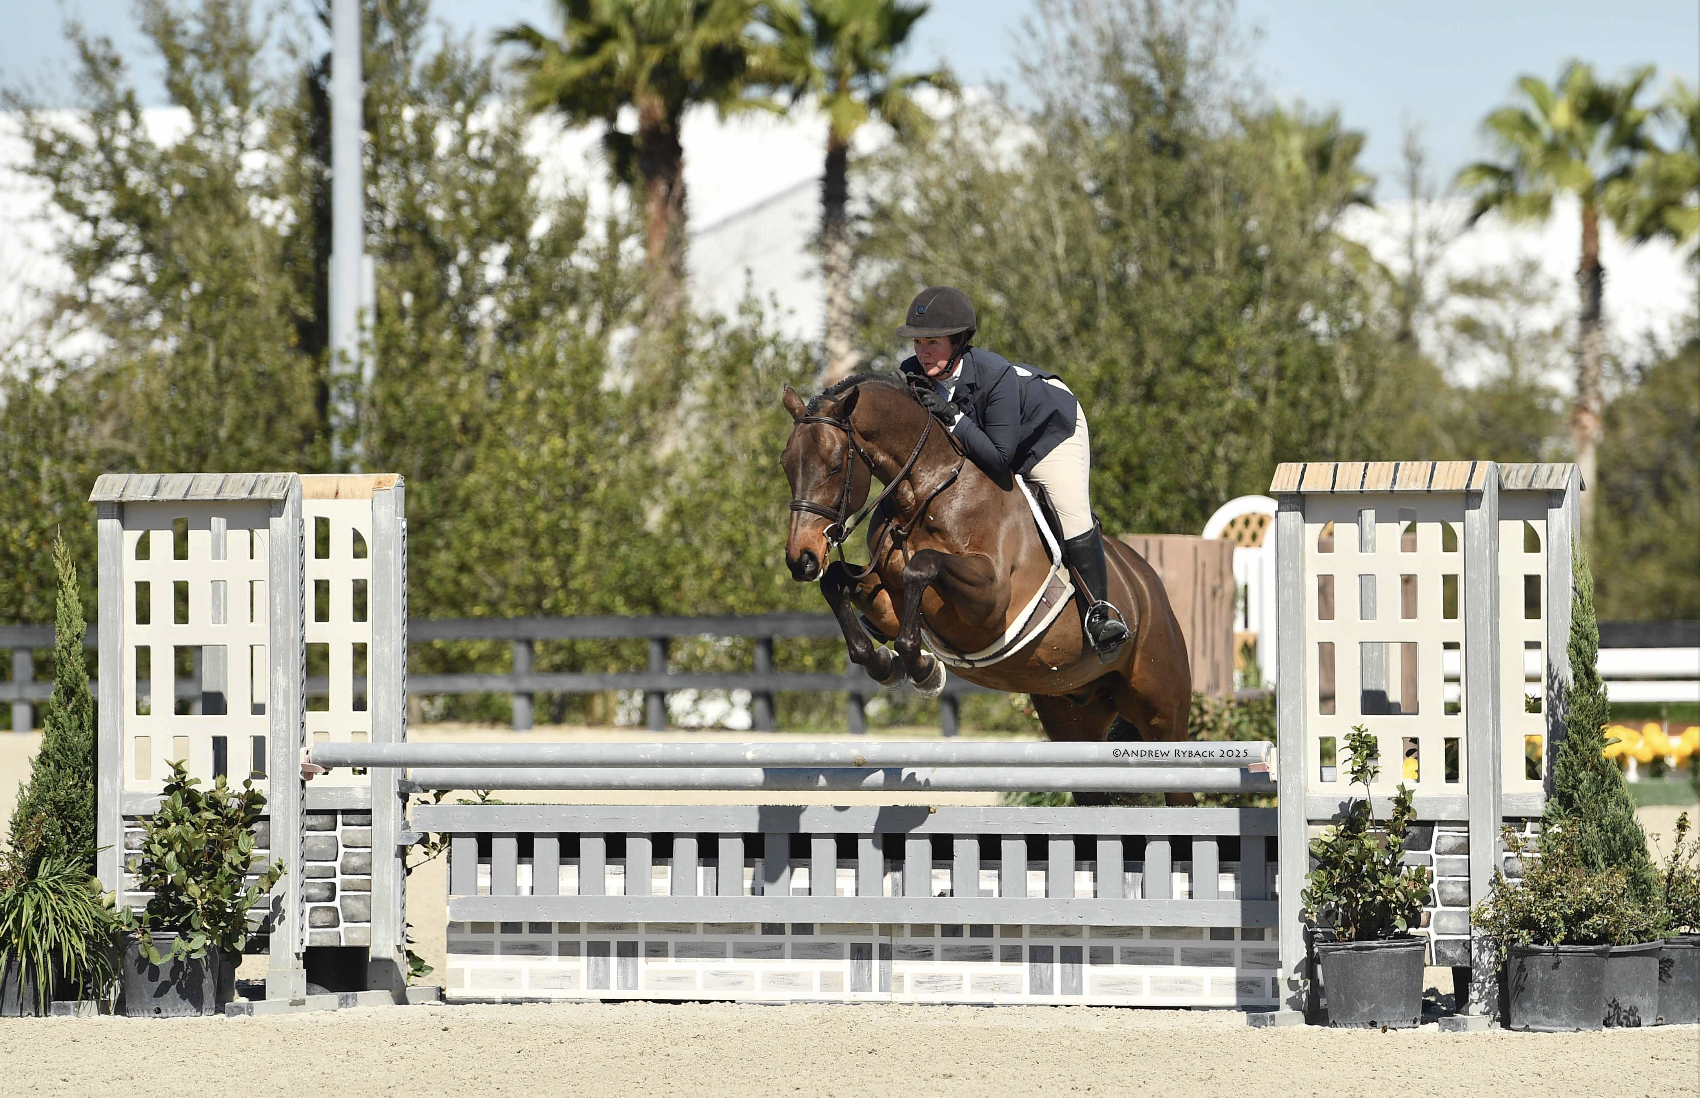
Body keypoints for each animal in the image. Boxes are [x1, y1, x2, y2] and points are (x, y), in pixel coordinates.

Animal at [780, 373, 1195, 804]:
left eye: (833, 466)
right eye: (786, 464)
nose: (801, 558)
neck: (925, 492)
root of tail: (1149, 583)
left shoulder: (990, 602)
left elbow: (921, 567)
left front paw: (924, 669)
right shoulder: (887, 598)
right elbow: (837, 582)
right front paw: (881, 663)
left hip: (1162, 712)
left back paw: (1106, 626)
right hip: (1072, 717)